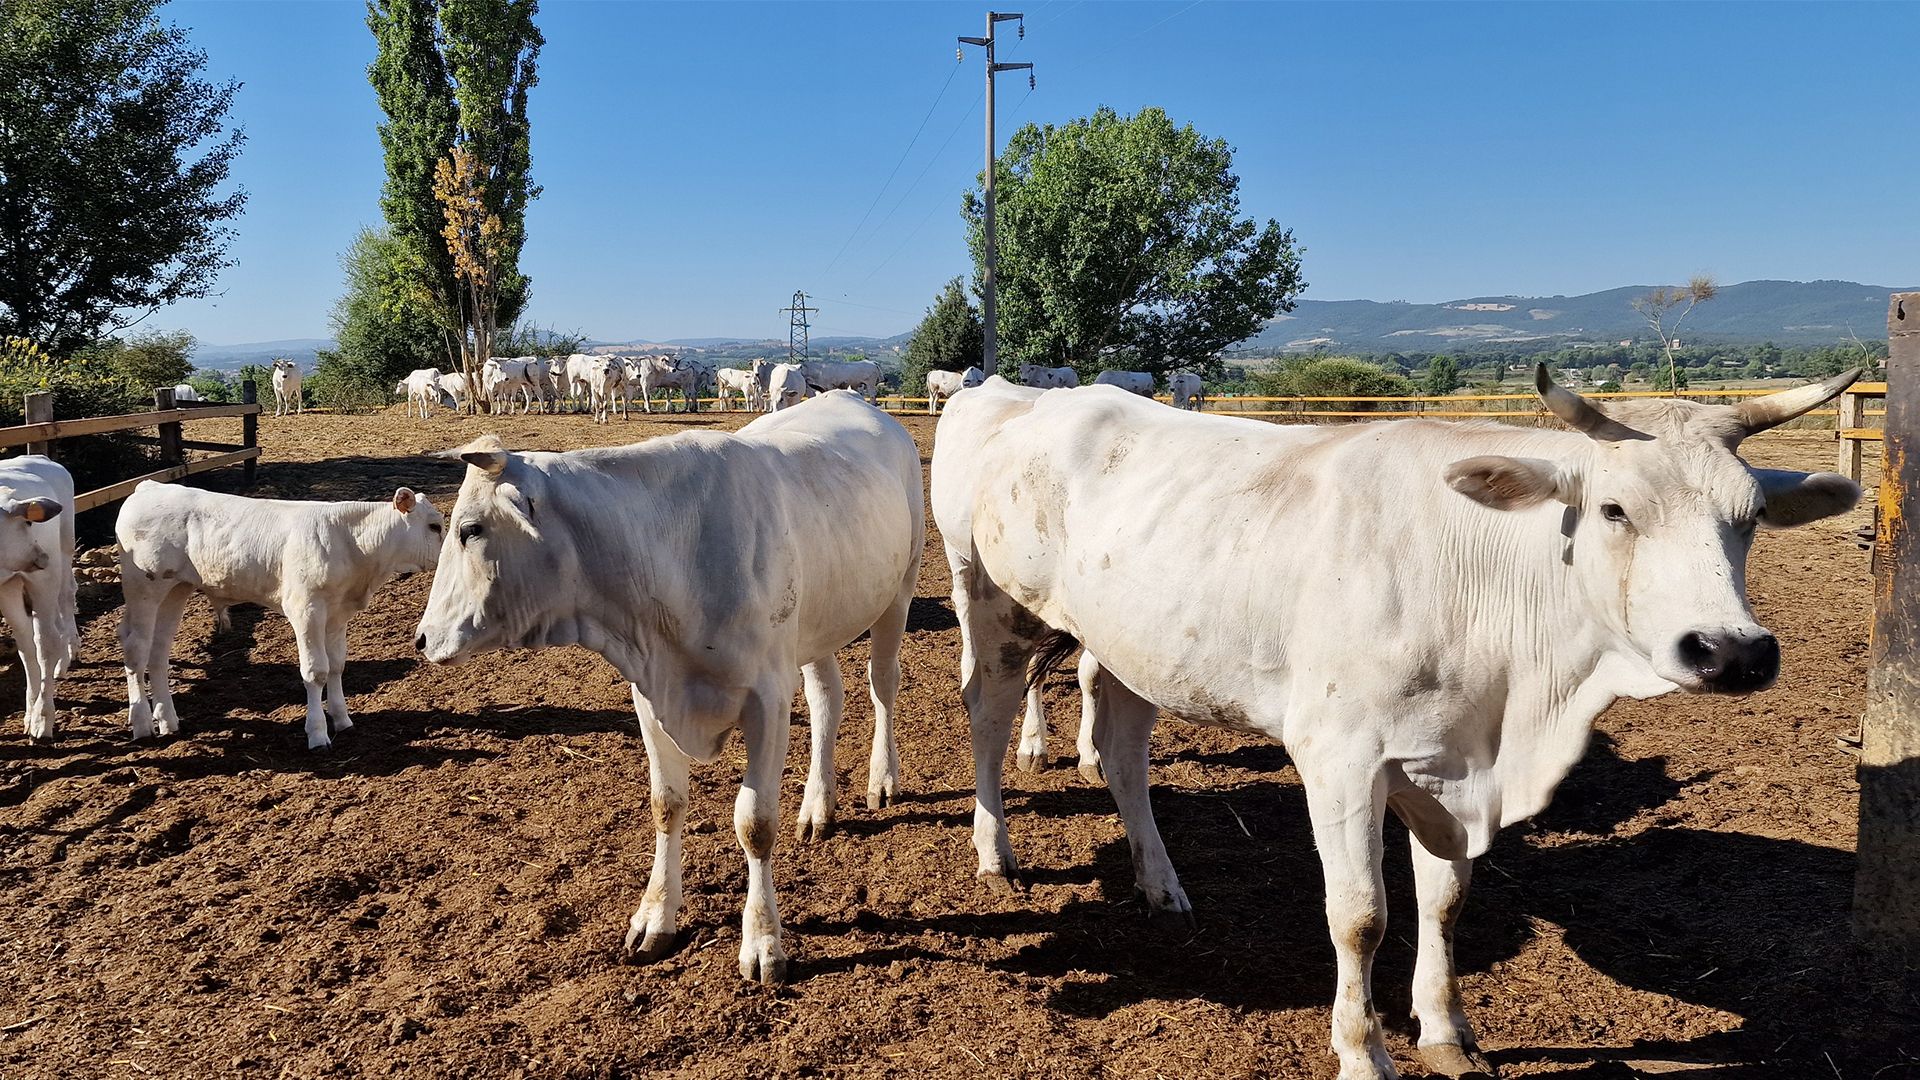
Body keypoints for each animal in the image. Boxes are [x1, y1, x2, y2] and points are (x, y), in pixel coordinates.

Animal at [0, 453, 76, 737]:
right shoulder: (5, 586)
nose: (42, 556)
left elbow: (46, 643)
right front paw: (31, 711)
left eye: (31, 521)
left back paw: (66, 658)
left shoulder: (43, 578)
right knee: (26, 638)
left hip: (64, 552)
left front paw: (43, 720)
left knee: (65, 599)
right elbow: (27, 645)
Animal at [119, 480, 445, 749]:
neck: (349, 542)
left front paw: (342, 719)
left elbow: (337, 666)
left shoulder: (338, 614)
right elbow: (316, 671)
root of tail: (149, 487)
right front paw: (317, 733)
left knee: (159, 651)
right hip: (144, 589)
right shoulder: (306, 610)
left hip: (176, 590)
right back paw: (142, 724)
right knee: (137, 649)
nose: (445, 559)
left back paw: (168, 720)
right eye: (434, 526)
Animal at [416, 388, 925, 983]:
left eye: (470, 529)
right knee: (827, 700)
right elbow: (667, 803)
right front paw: (655, 917)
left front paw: (762, 940)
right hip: (818, 622)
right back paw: (818, 806)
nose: (423, 639)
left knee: (882, 685)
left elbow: (755, 822)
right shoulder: (650, 691)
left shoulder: (767, 699)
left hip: (899, 589)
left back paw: (881, 779)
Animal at [936, 367, 1866, 1076]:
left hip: (1134, 647)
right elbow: (1361, 914)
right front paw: (1363, 1052)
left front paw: (1448, 1031)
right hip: (993, 603)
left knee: (1124, 755)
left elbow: (1445, 900)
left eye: (1750, 518)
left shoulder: (1447, 763)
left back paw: (1160, 882)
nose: (1731, 651)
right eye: (1614, 509)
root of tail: (1025, 398)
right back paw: (995, 851)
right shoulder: (1340, 755)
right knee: (985, 712)